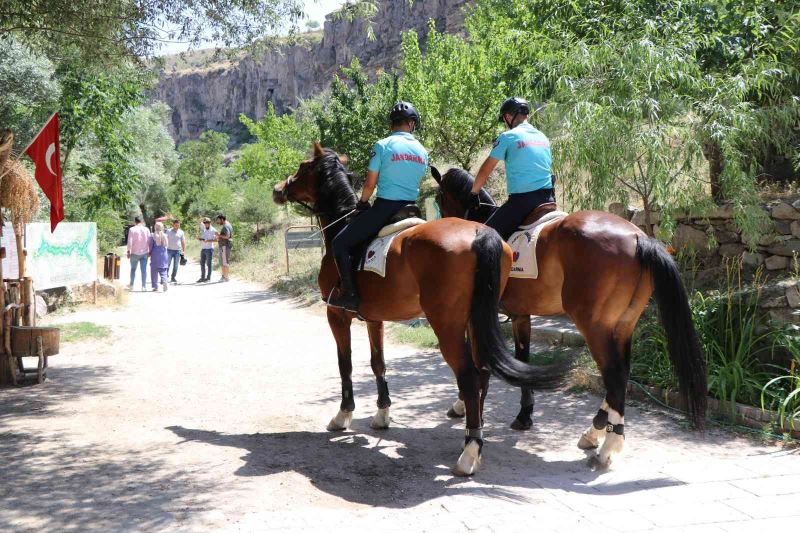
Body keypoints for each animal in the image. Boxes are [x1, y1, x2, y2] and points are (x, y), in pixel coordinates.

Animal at [274, 143, 568, 476]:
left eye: (302, 167)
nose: (279, 189)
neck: (344, 224)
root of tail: (480, 233)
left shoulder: (336, 315)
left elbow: (345, 364)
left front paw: (343, 415)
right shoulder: (375, 319)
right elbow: (378, 363)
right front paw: (382, 414)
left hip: (448, 325)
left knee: (469, 374)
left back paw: (470, 449)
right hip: (476, 320)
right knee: (482, 369)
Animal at [432, 166, 708, 466]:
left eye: (439, 196)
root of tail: (639, 237)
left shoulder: (479, 319)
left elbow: (479, 366)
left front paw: (464, 407)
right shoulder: (521, 316)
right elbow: (522, 359)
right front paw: (524, 415)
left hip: (594, 326)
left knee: (614, 374)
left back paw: (609, 444)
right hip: (624, 324)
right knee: (622, 372)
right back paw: (596, 429)